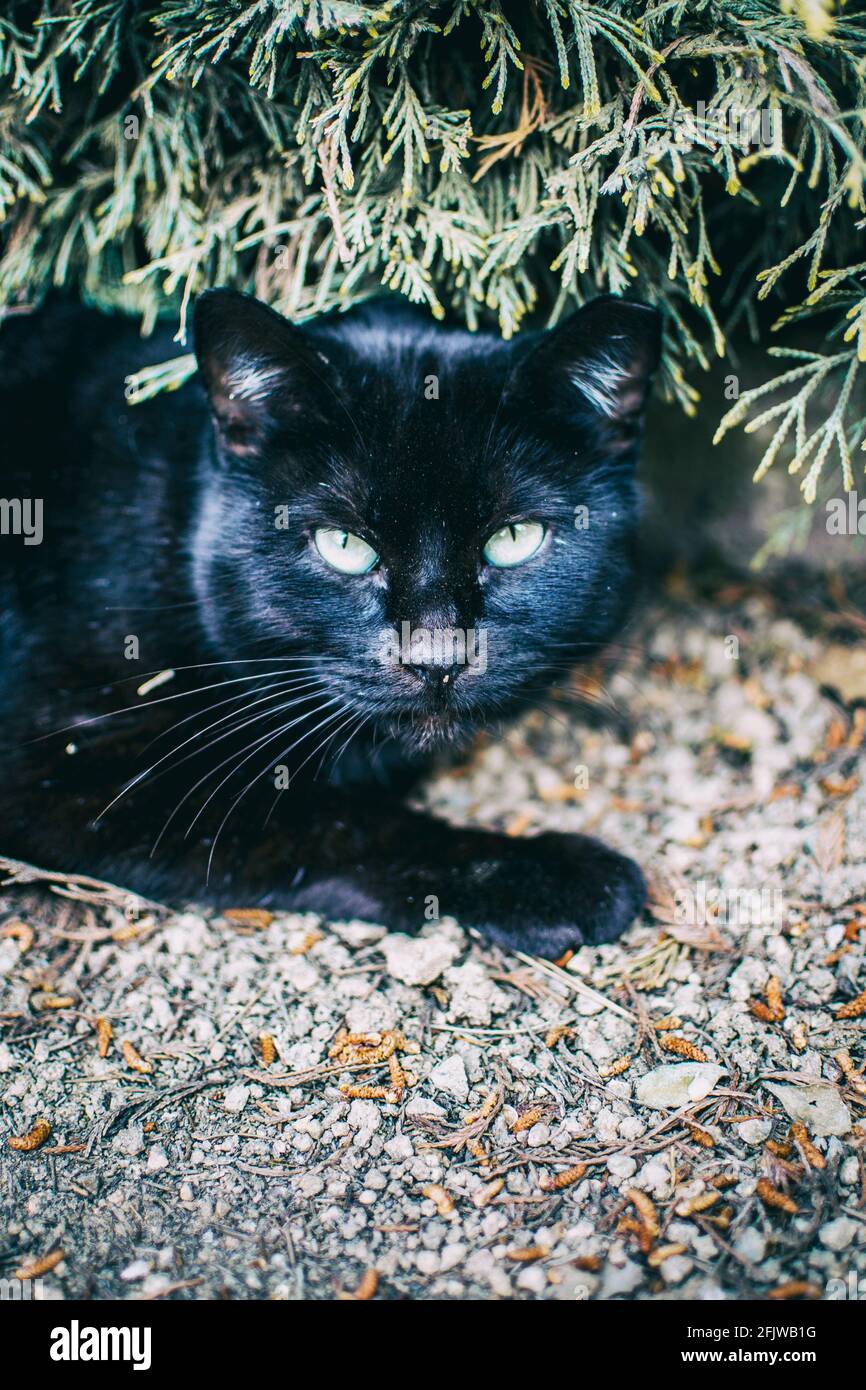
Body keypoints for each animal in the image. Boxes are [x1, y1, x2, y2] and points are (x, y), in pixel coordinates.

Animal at [0, 291, 661, 956]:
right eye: (344, 545)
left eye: (514, 539)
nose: (437, 657)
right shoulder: (70, 765)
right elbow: (338, 822)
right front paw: (551, 877)